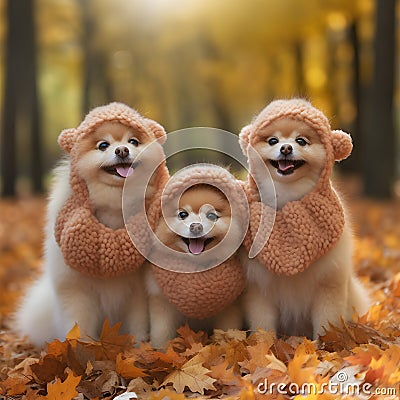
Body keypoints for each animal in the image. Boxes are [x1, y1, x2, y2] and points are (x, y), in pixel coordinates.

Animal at [15, 104, 167, 346]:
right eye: (103, 145)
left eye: (133, 141)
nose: (122, 150)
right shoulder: (76, 289)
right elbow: (79, 323)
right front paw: (80, 348)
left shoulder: (136, 292)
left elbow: (137, 323)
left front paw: (137, 347)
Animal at [145, 184, 242, 346]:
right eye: (183, 214)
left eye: (211, 216)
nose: (196, 226)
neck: (196, 268)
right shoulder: (161, 303)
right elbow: (162, 334)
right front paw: (160, 351)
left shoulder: (230, 308)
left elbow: (227, 332)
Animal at [239, 99, 370, 338]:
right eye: (273, 141)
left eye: (301, 141)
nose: (286, 147)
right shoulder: (258, 289)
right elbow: (263, 326)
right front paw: (264, 345)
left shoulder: (329, 285)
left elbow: (326, 324)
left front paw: (325, 346)